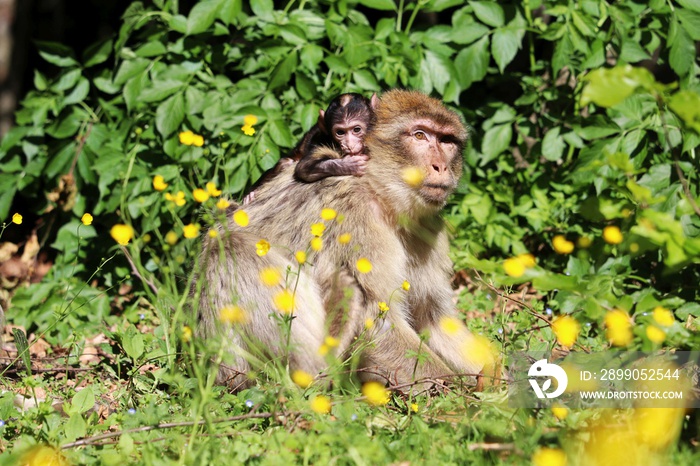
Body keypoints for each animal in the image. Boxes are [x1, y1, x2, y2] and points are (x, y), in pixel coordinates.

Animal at [245, 92, 378, 203]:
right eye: (340, 132)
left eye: (356, 130)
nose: (349, 144)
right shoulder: (321, 142)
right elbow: (303, 168)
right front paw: (350, 165)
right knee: (286, 163)